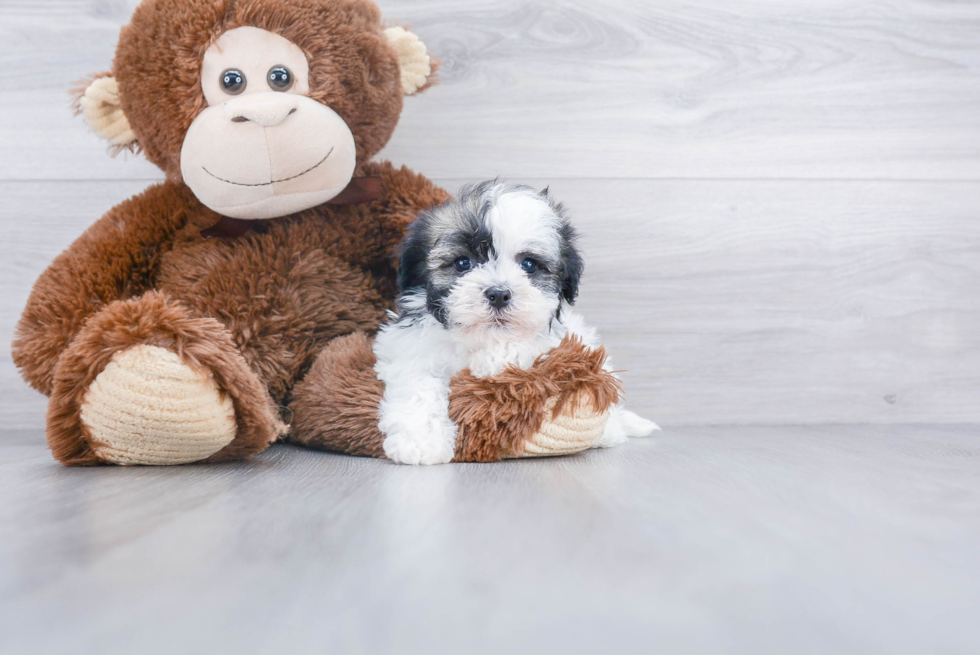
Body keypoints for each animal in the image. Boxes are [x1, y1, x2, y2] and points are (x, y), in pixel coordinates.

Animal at [376, 182, 660, 464]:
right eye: (463, 263)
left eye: (529, 265)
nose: (499, 294)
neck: (483, 338)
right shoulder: (410, 346)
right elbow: (417, 383)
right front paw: (420, 442)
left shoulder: (559, 339)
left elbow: (530, 345)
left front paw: (494, 361)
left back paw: (612, 430)